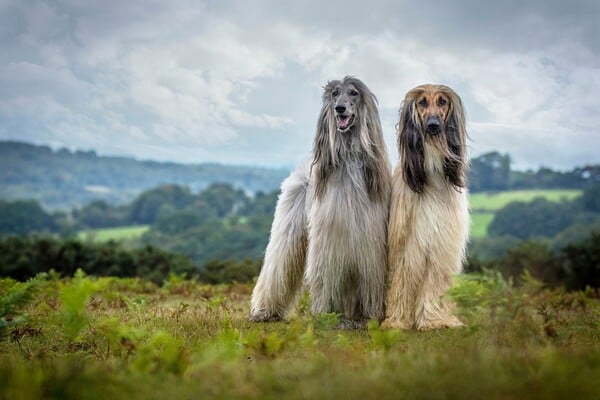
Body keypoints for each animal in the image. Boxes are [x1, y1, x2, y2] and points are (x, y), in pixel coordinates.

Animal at [247, 76, 392, 324]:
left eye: (353, 93)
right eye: (335, 93)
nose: (339, 108)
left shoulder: (369, 241)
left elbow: (369, 276)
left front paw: (367, 316)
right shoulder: (329, 238)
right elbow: (327, 276)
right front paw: (327, 314)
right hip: (289, 228)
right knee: (277, 266)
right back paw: (264, 310)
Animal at [384, 84, 468, 332]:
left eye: (442, 102)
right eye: (422, 102)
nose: (433, 125)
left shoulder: (441, 242)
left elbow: (435, 280)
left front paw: (434, 319)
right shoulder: (406, 241)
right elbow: (402, 277)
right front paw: (396, 321)